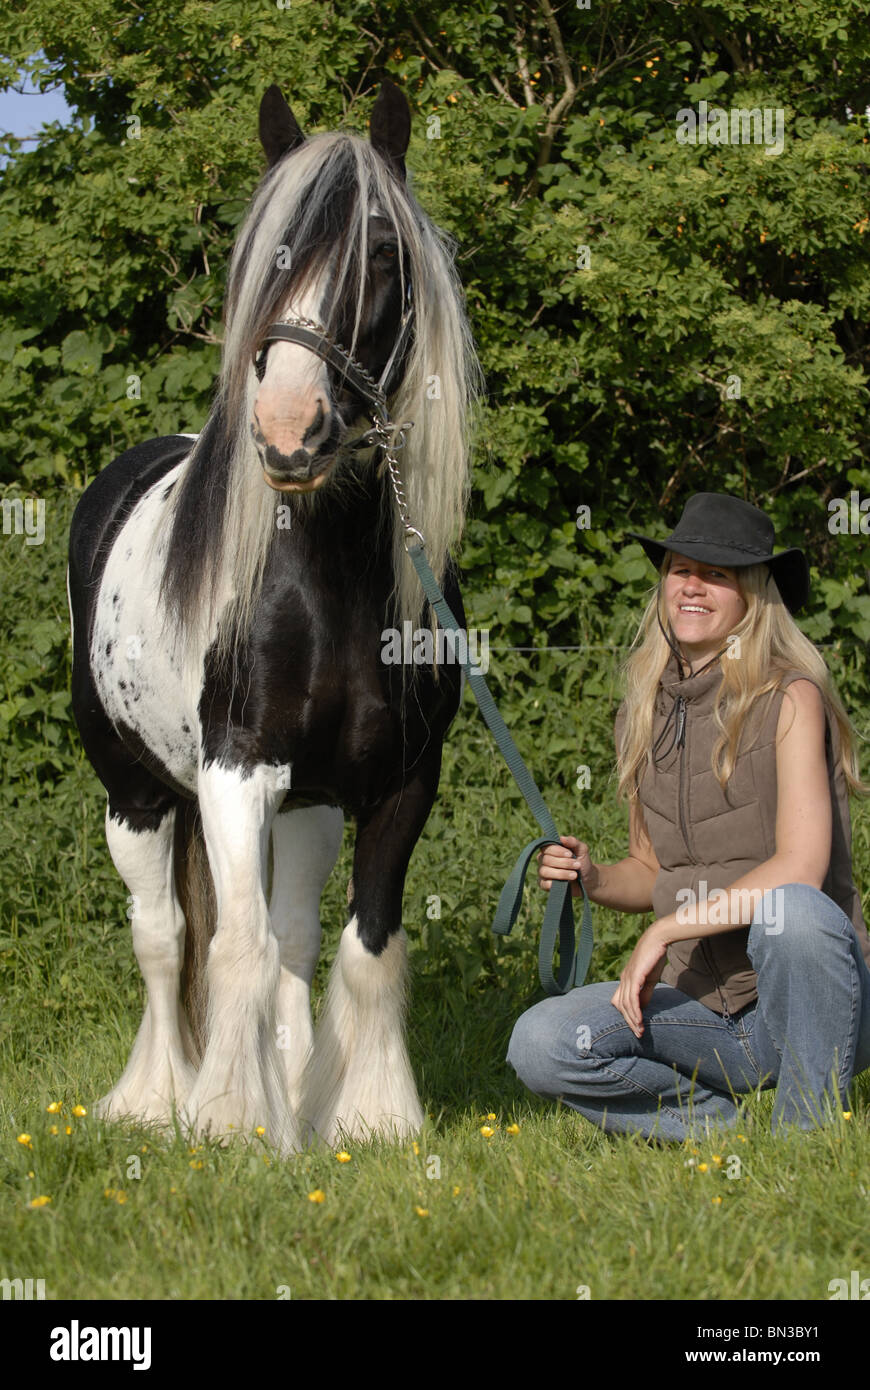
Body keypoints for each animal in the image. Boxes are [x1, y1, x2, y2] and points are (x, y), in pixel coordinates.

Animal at [66, 81, 480, 1156]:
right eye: (270, 255)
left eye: (383, 257)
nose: (289, 431)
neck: (325, 586)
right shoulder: (233, 771)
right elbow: (234, 946)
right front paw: (230, 1125)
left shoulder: (398, 784)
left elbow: (363, 946)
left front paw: (365, 1118)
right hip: (137, 796)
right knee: (166, 940)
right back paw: (158, 1099)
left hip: (311, 805)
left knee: (292, 932)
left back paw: (289, 1089)